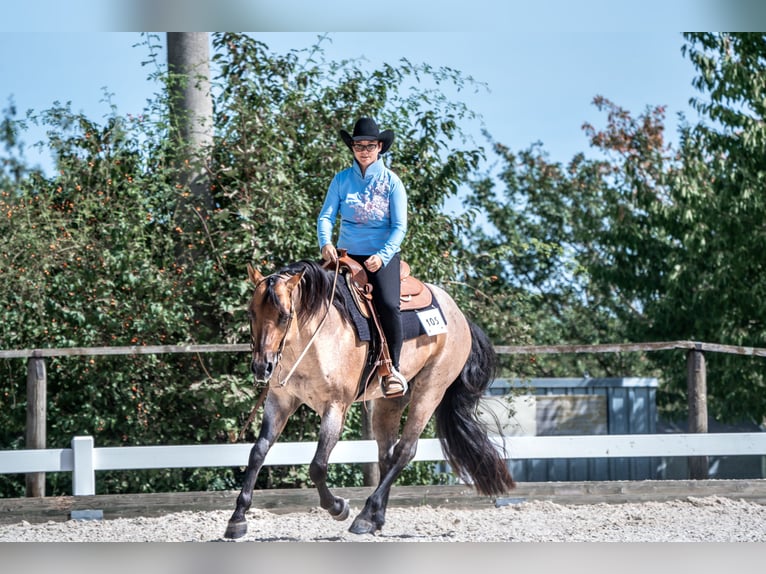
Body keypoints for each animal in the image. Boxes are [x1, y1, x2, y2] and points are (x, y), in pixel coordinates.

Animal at [224, 259, 515, 539]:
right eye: (251, 313)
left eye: (284, 316)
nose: (262, 368)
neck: (315, 338)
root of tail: (460, 316)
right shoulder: (280, 401)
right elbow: (257, 452)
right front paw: (237, 519)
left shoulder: (335, 407)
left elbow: (317, 466)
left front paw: (338, 507)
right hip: (390, 401)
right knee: (386, 455)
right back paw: (375, 518)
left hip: (430, 391)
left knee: (405, 451)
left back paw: (364, 516)